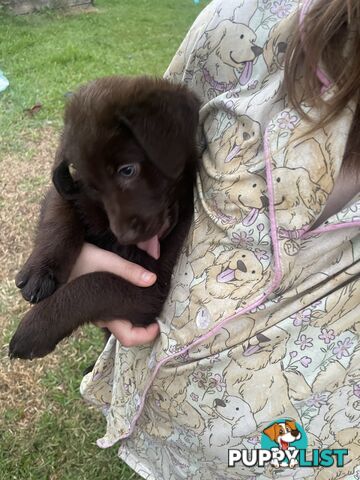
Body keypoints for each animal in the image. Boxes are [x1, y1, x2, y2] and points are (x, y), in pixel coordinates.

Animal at [9, 76, 200, 360]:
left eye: (127, 170)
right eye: (94, 187)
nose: (125, 237)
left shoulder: (151, 288)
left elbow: (93, 285)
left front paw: (34, 329)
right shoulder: (68, 191)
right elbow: (59, 215)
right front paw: (40, 270)